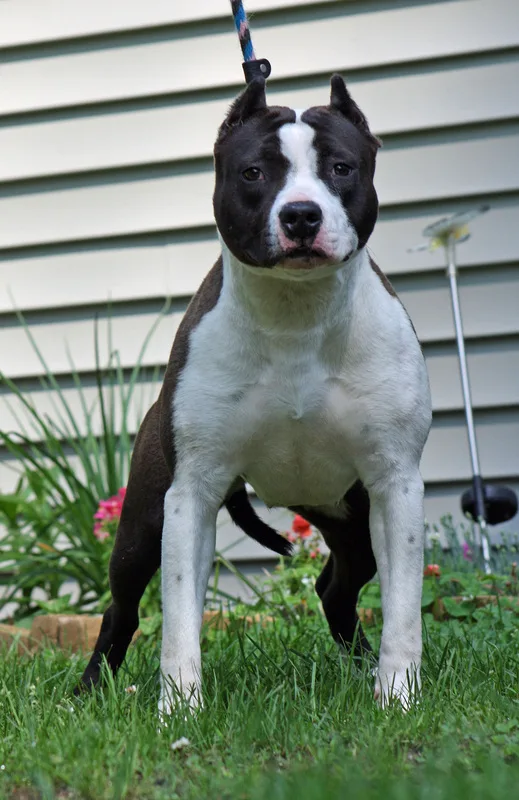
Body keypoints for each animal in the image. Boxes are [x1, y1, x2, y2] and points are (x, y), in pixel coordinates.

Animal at [79, 75, 432, 713]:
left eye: (340, 167)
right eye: (253, 173)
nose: (301, 215)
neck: (295, 316)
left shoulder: (396, 485)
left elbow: (402, 612)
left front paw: (397, 696)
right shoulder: (189, 493)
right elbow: (178, 617)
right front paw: (179, 708)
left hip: (352, 518)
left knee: (336, 587)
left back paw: (362, 669)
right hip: (139, 525)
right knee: (121, 610)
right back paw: (90, 689)